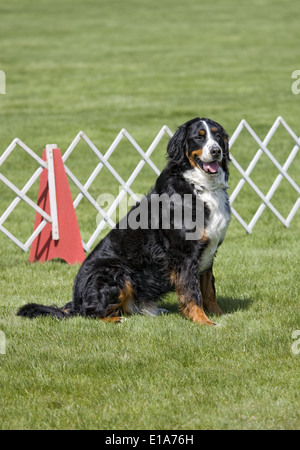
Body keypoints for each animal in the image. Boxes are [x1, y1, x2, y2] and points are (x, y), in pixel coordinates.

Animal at [17, 118, 231, 326]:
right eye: (199, 137)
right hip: (116, 272)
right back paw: (115, 319)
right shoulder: (184, 253)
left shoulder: (207, 252)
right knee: (89, 313)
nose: (216, 151)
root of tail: (76, 301)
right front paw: (203, 321)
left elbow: (208, 289)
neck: (200, 187)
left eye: (217, 135)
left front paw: (222, 315)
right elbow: (192, 292)